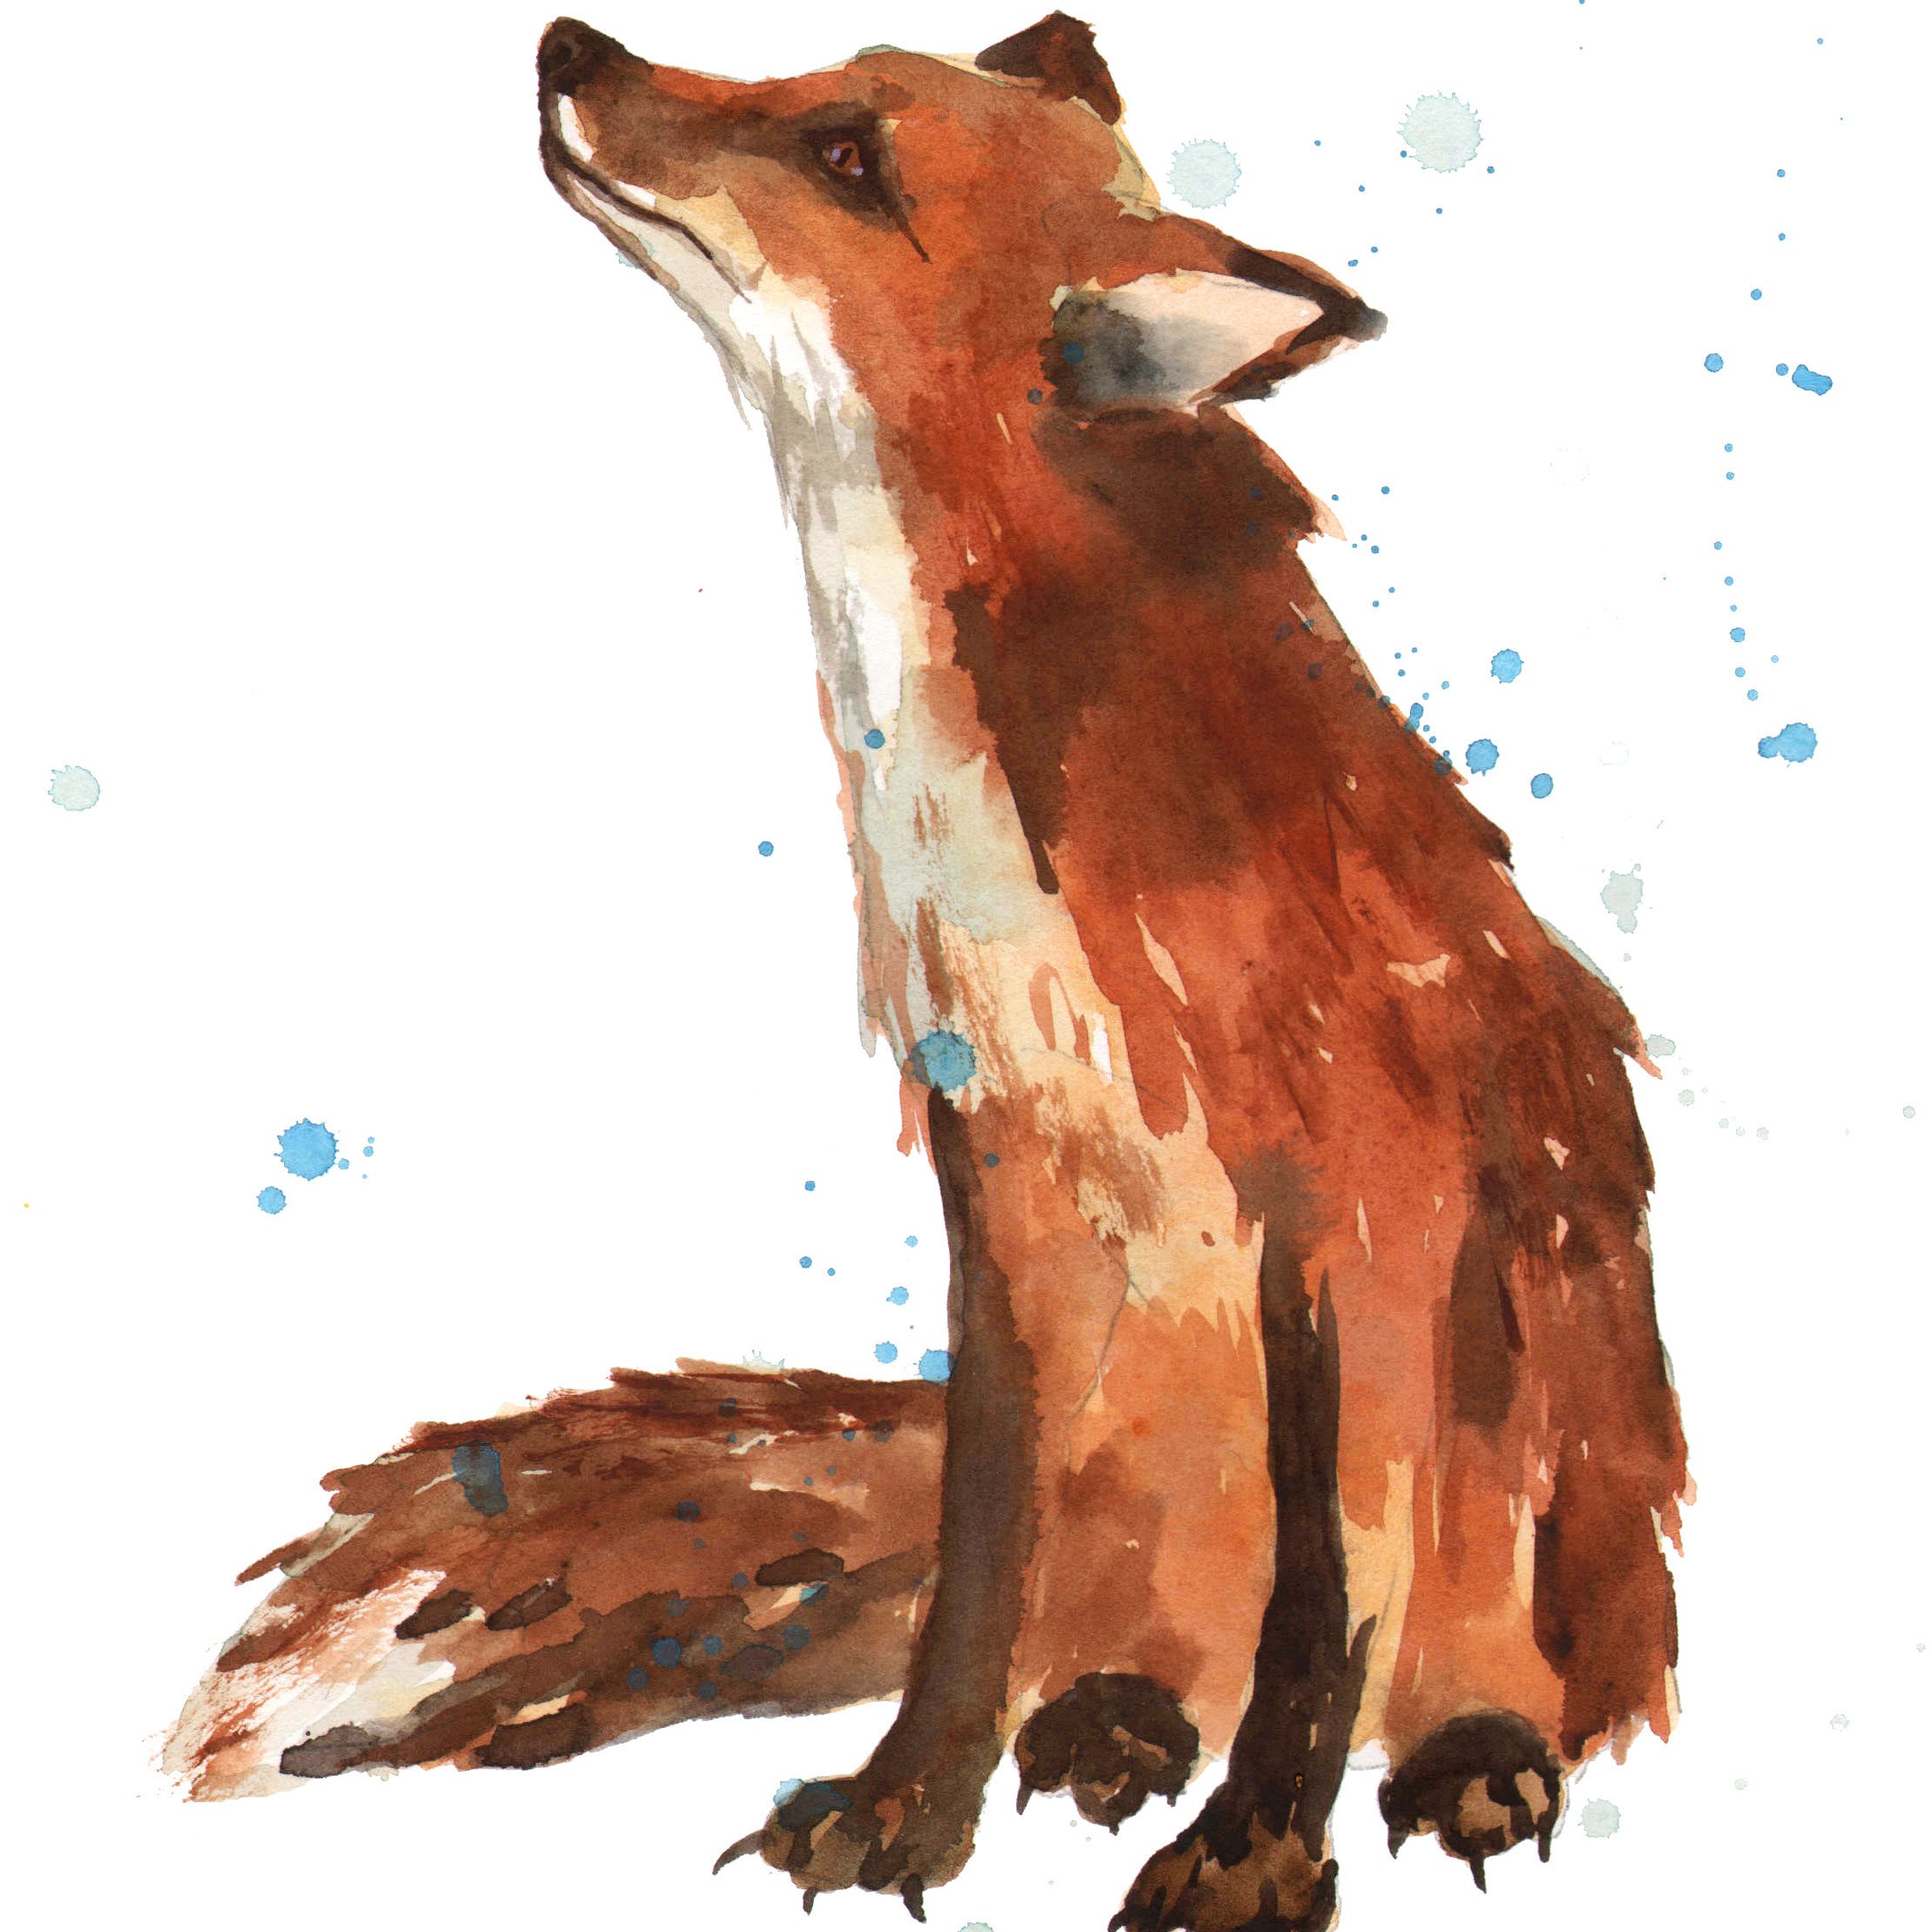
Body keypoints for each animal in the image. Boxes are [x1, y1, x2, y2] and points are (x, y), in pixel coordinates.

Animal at [168, 16, 1688, 1932]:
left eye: (844, 155)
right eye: (811, 87)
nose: (567, 43)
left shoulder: (1362, 1205)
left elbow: (1322, 1612)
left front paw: (1253, 1855)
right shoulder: (1005, 1187)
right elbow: (979, 1573)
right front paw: (904, 1808)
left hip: (1553, 1404)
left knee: (1524, 1660)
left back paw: (1471, 1751)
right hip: (1154, 1404)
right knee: (1131, 1625)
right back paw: (1115, 1724)